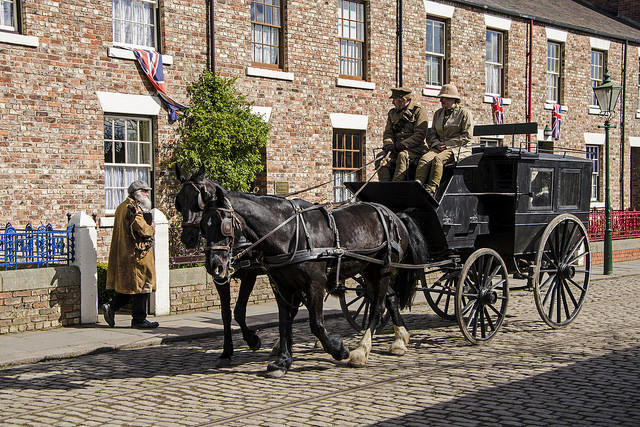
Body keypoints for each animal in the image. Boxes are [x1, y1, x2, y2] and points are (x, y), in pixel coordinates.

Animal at [196, 182, 424, 376]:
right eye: (203, 226)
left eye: (224, 226)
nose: (214, 266)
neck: (289, 232)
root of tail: (394, 215)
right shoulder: (282, 286)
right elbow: (284, 322)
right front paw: (283, 361)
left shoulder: (315, 284)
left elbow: (316, 323)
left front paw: (338, 349)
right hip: (368, 270)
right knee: (390, 297)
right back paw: (399, 340)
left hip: (384, 269)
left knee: (377, 306)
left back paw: (361, 351)